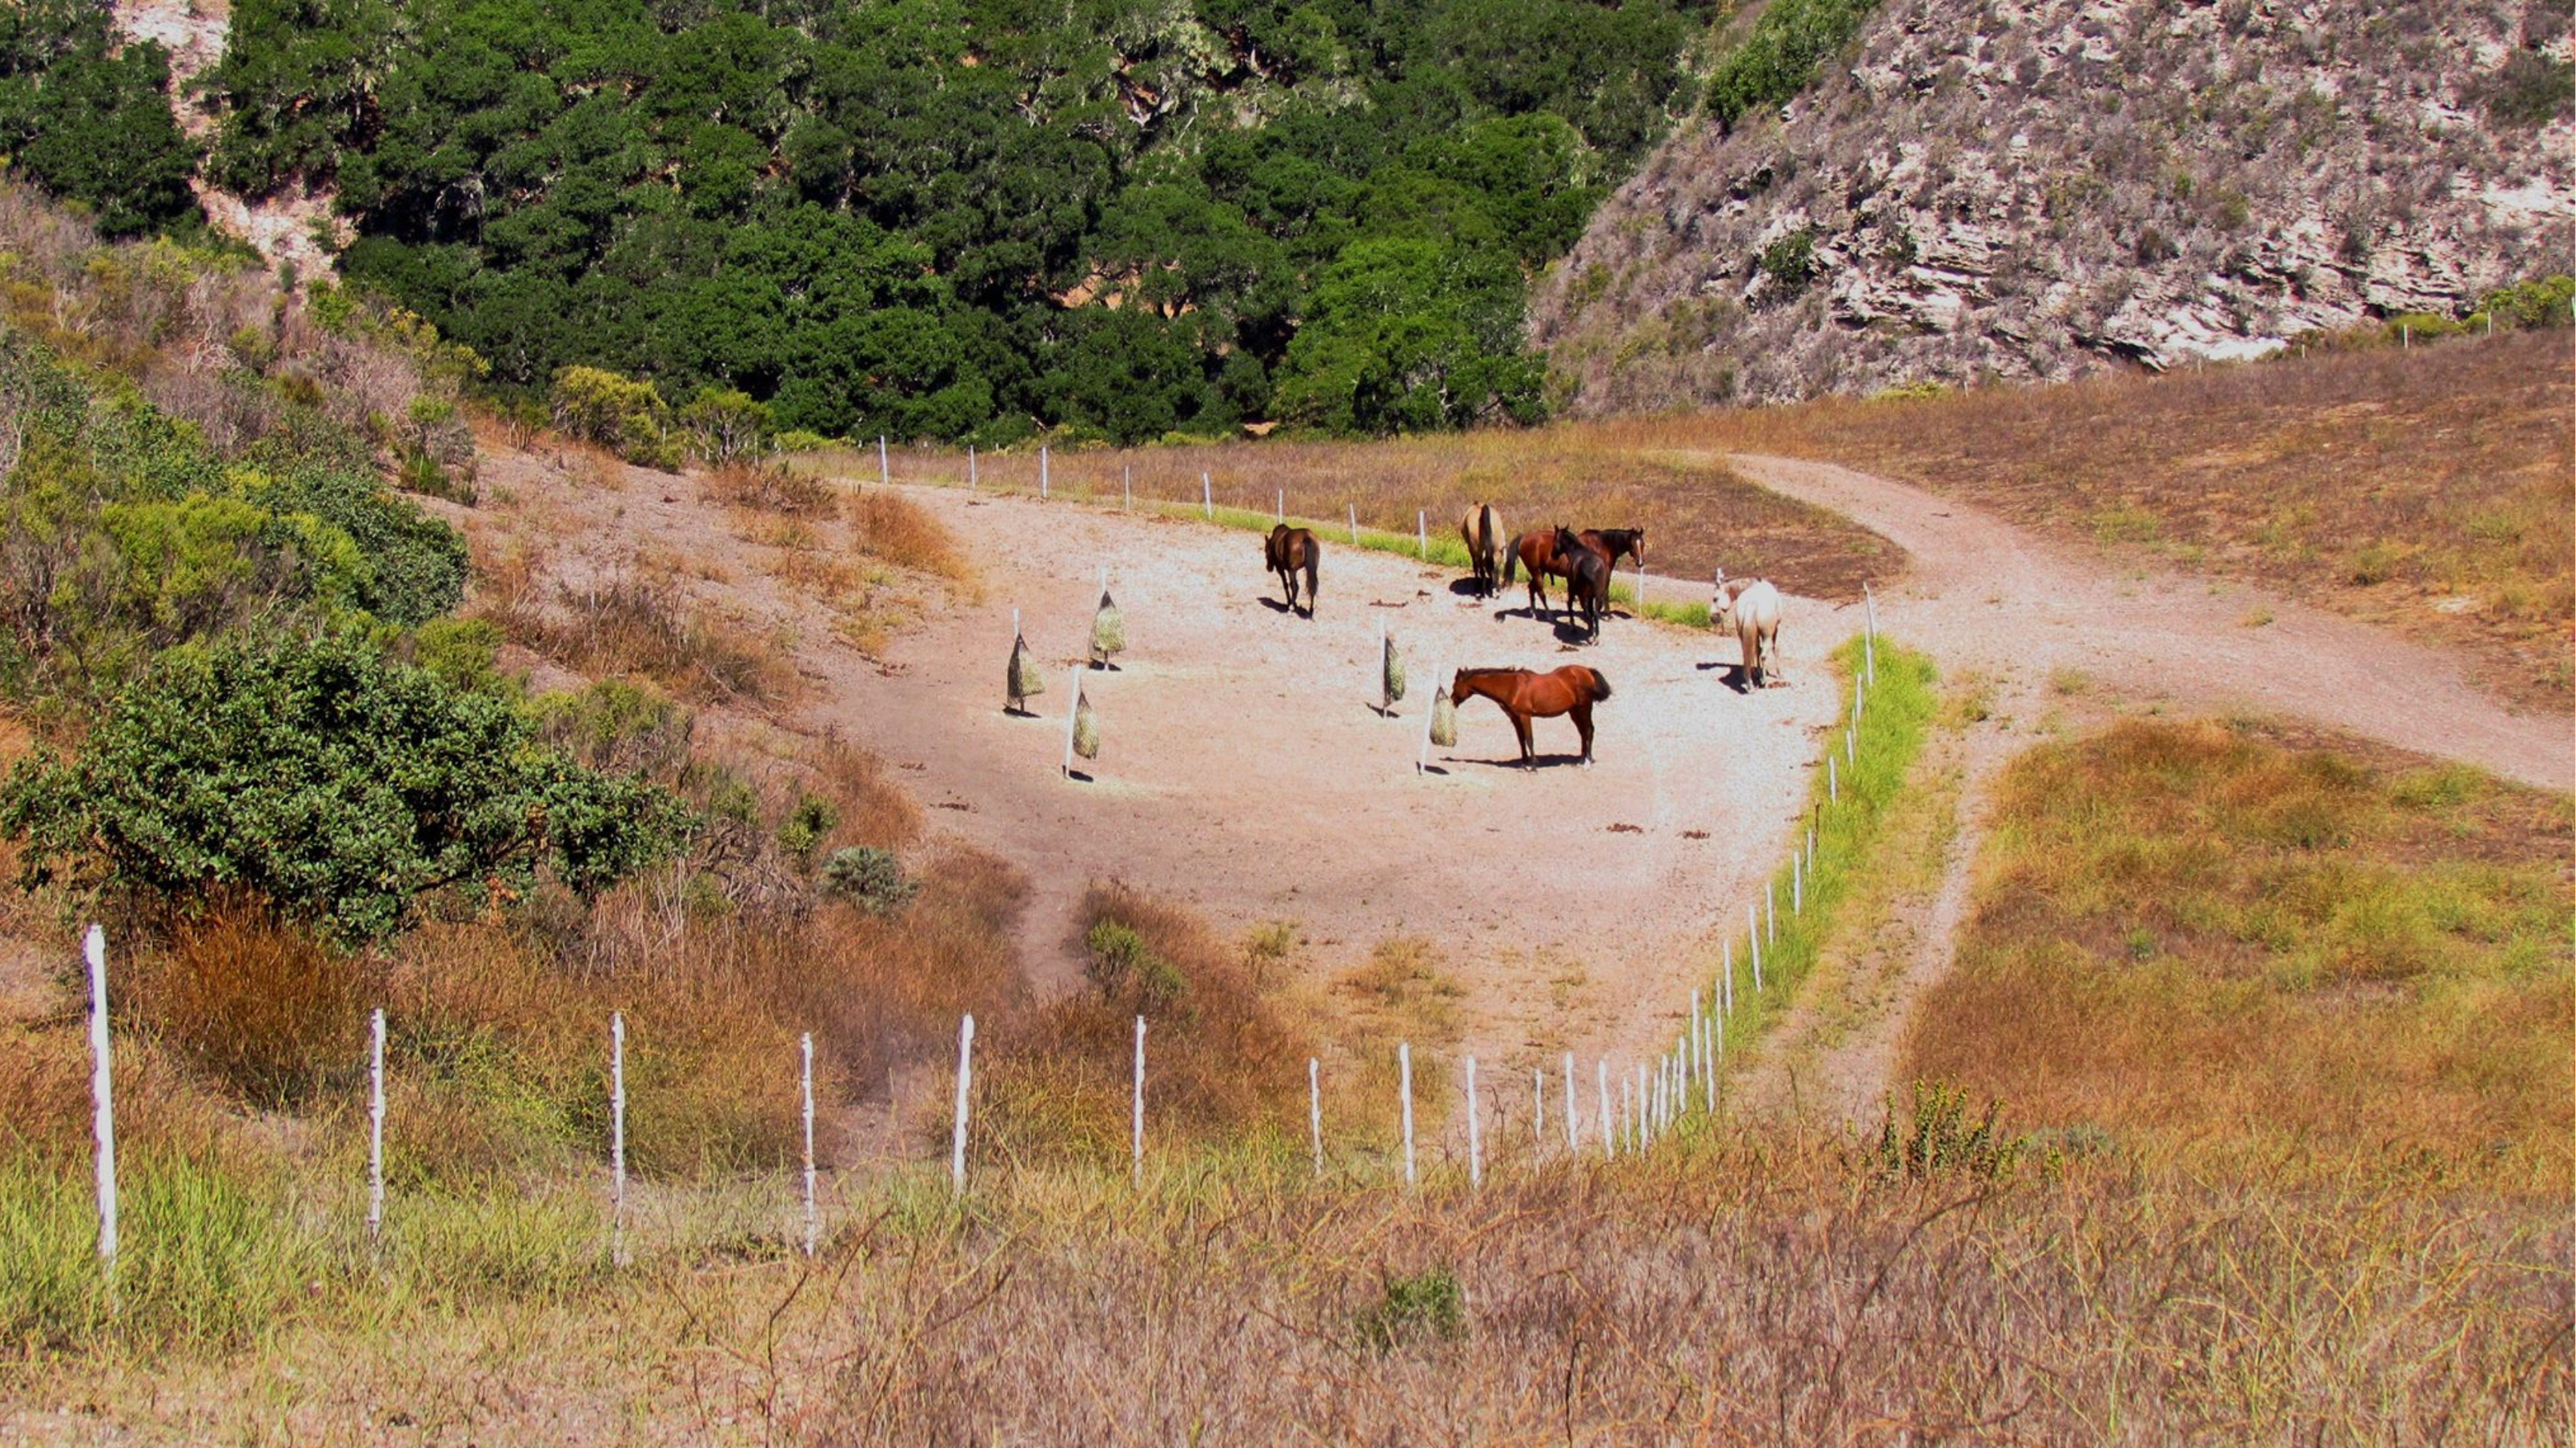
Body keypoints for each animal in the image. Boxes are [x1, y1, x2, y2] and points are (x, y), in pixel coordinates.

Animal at [1453, 659, 1607, 762]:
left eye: (1455, 685)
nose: (1453, 700)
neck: (1512, 687)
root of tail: (1587, 671)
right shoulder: (1514, 718)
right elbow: (1521, 739)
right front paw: (1524, 763)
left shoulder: (1525, 716)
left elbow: (1529, 739)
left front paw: (1533, 765)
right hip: (1573, 711)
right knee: (1582, 732)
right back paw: (1581, 759)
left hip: (1584, 707)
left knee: (1589, 729)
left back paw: (1588, 760)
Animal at [1721, 564, 1782, 685]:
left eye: (1715, 599)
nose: (1713, 618)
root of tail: (1752, 603)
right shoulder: (1776, 629)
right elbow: (1775, 649)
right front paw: (1779, 674)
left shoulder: (1756, 633)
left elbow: (1756, 649)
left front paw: (1758, 672)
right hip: (1767, 635)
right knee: (1763, 655)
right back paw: (1764, 682)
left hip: (1744, 635)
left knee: (1748, 654)